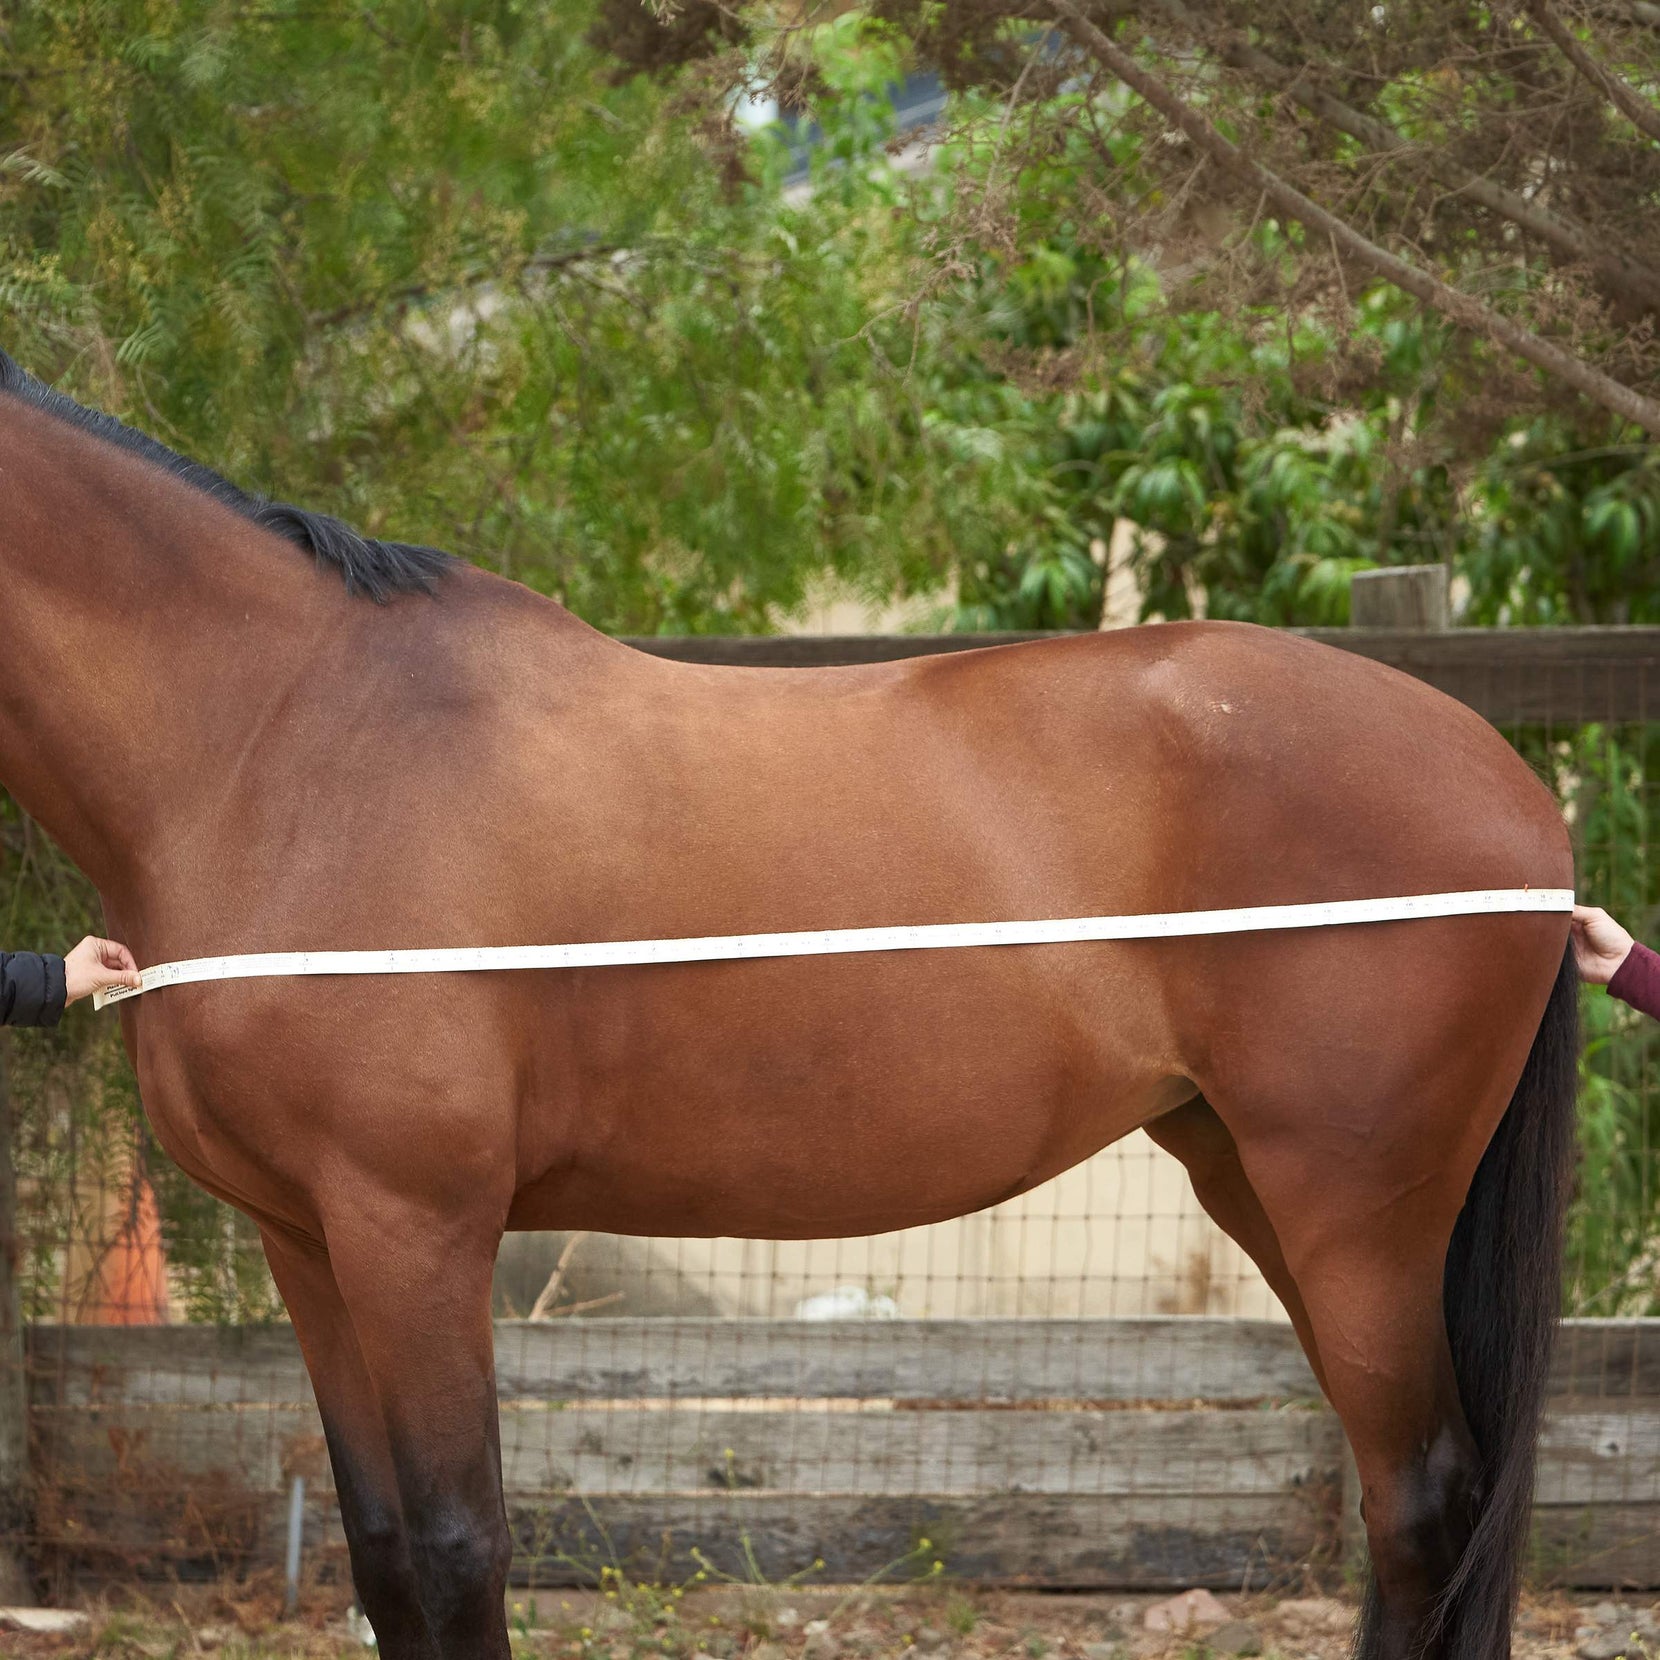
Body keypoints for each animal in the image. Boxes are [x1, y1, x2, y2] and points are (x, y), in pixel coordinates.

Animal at [0, 349, 1576, 1660]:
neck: (283, 745)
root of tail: (1505, 781)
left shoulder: (413, 1229)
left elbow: (457, 1550)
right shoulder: (309, 1241)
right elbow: (387, 1555)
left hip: (1354, 1209)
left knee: (1425, 1503)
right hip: (1261, 1182)